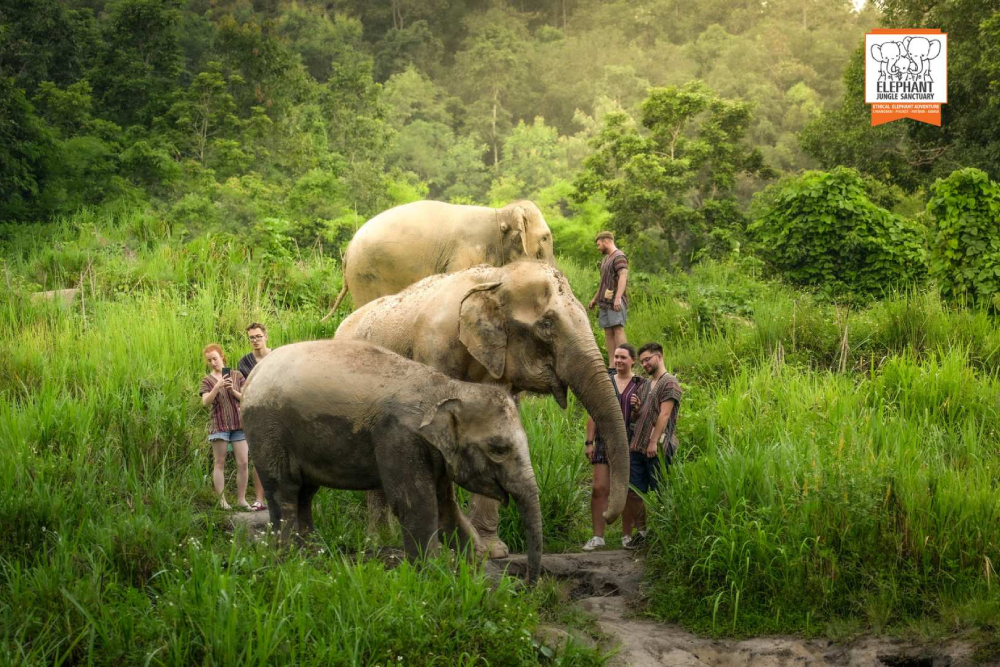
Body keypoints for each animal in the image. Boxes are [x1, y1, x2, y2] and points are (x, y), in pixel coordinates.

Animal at [240, 339, 542, 582]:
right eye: (498, 449)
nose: (529, 583)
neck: (448, 388)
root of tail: (252, 375)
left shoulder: (435, 452)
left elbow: (446, 507)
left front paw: (474, 571)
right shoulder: (399, 437)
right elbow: (415, 503)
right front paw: (429, 576)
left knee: (305, 493)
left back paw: (312, 555)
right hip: (267, 430)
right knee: (285, 490)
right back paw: (288, 560)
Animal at [335, 261, 630, 558]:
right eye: (546, 324)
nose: (607, 515)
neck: (496, 277)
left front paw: (492, 551)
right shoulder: (435, 350)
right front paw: (453, 552)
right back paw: (378, 541)